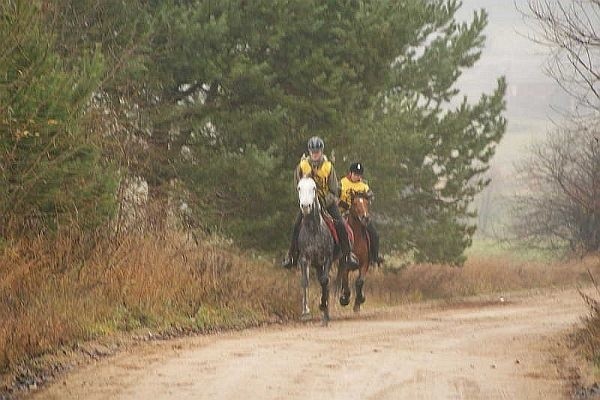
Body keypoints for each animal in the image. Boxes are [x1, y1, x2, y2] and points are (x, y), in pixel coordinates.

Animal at [296, 176, 336, 324]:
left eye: (314, 188)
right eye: (299, 187)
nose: (305, 206)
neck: (313, 230)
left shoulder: (328, 258)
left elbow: (325, 281)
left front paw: (322, 305)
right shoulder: (304, 259)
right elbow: (305, 281)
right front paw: (305, 312)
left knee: (326, 281)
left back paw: (326, 313)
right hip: (317, 264)